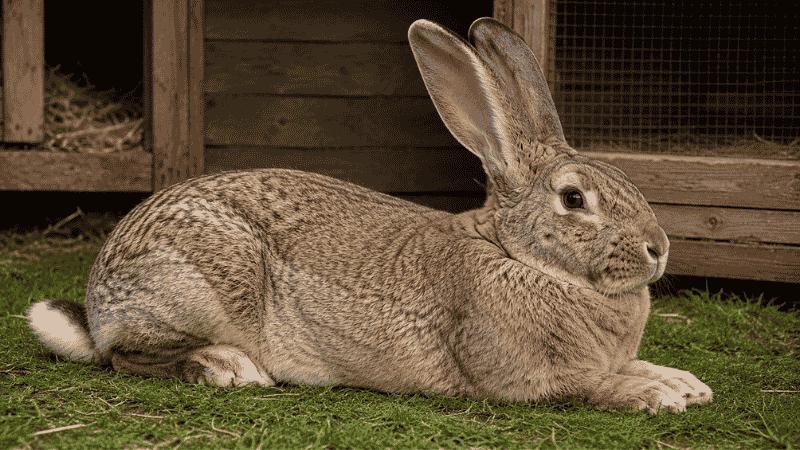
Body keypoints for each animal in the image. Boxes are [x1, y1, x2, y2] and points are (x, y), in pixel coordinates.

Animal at [27, 17, 712, 413]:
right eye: (574, 199)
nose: (659, 248)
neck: (518, 254)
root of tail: (98, 299)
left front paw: (686, 383)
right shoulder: (524, 376)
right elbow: (593, 387)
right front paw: (655, 395)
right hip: (192, 288)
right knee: (127, 356)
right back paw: (227, 367)